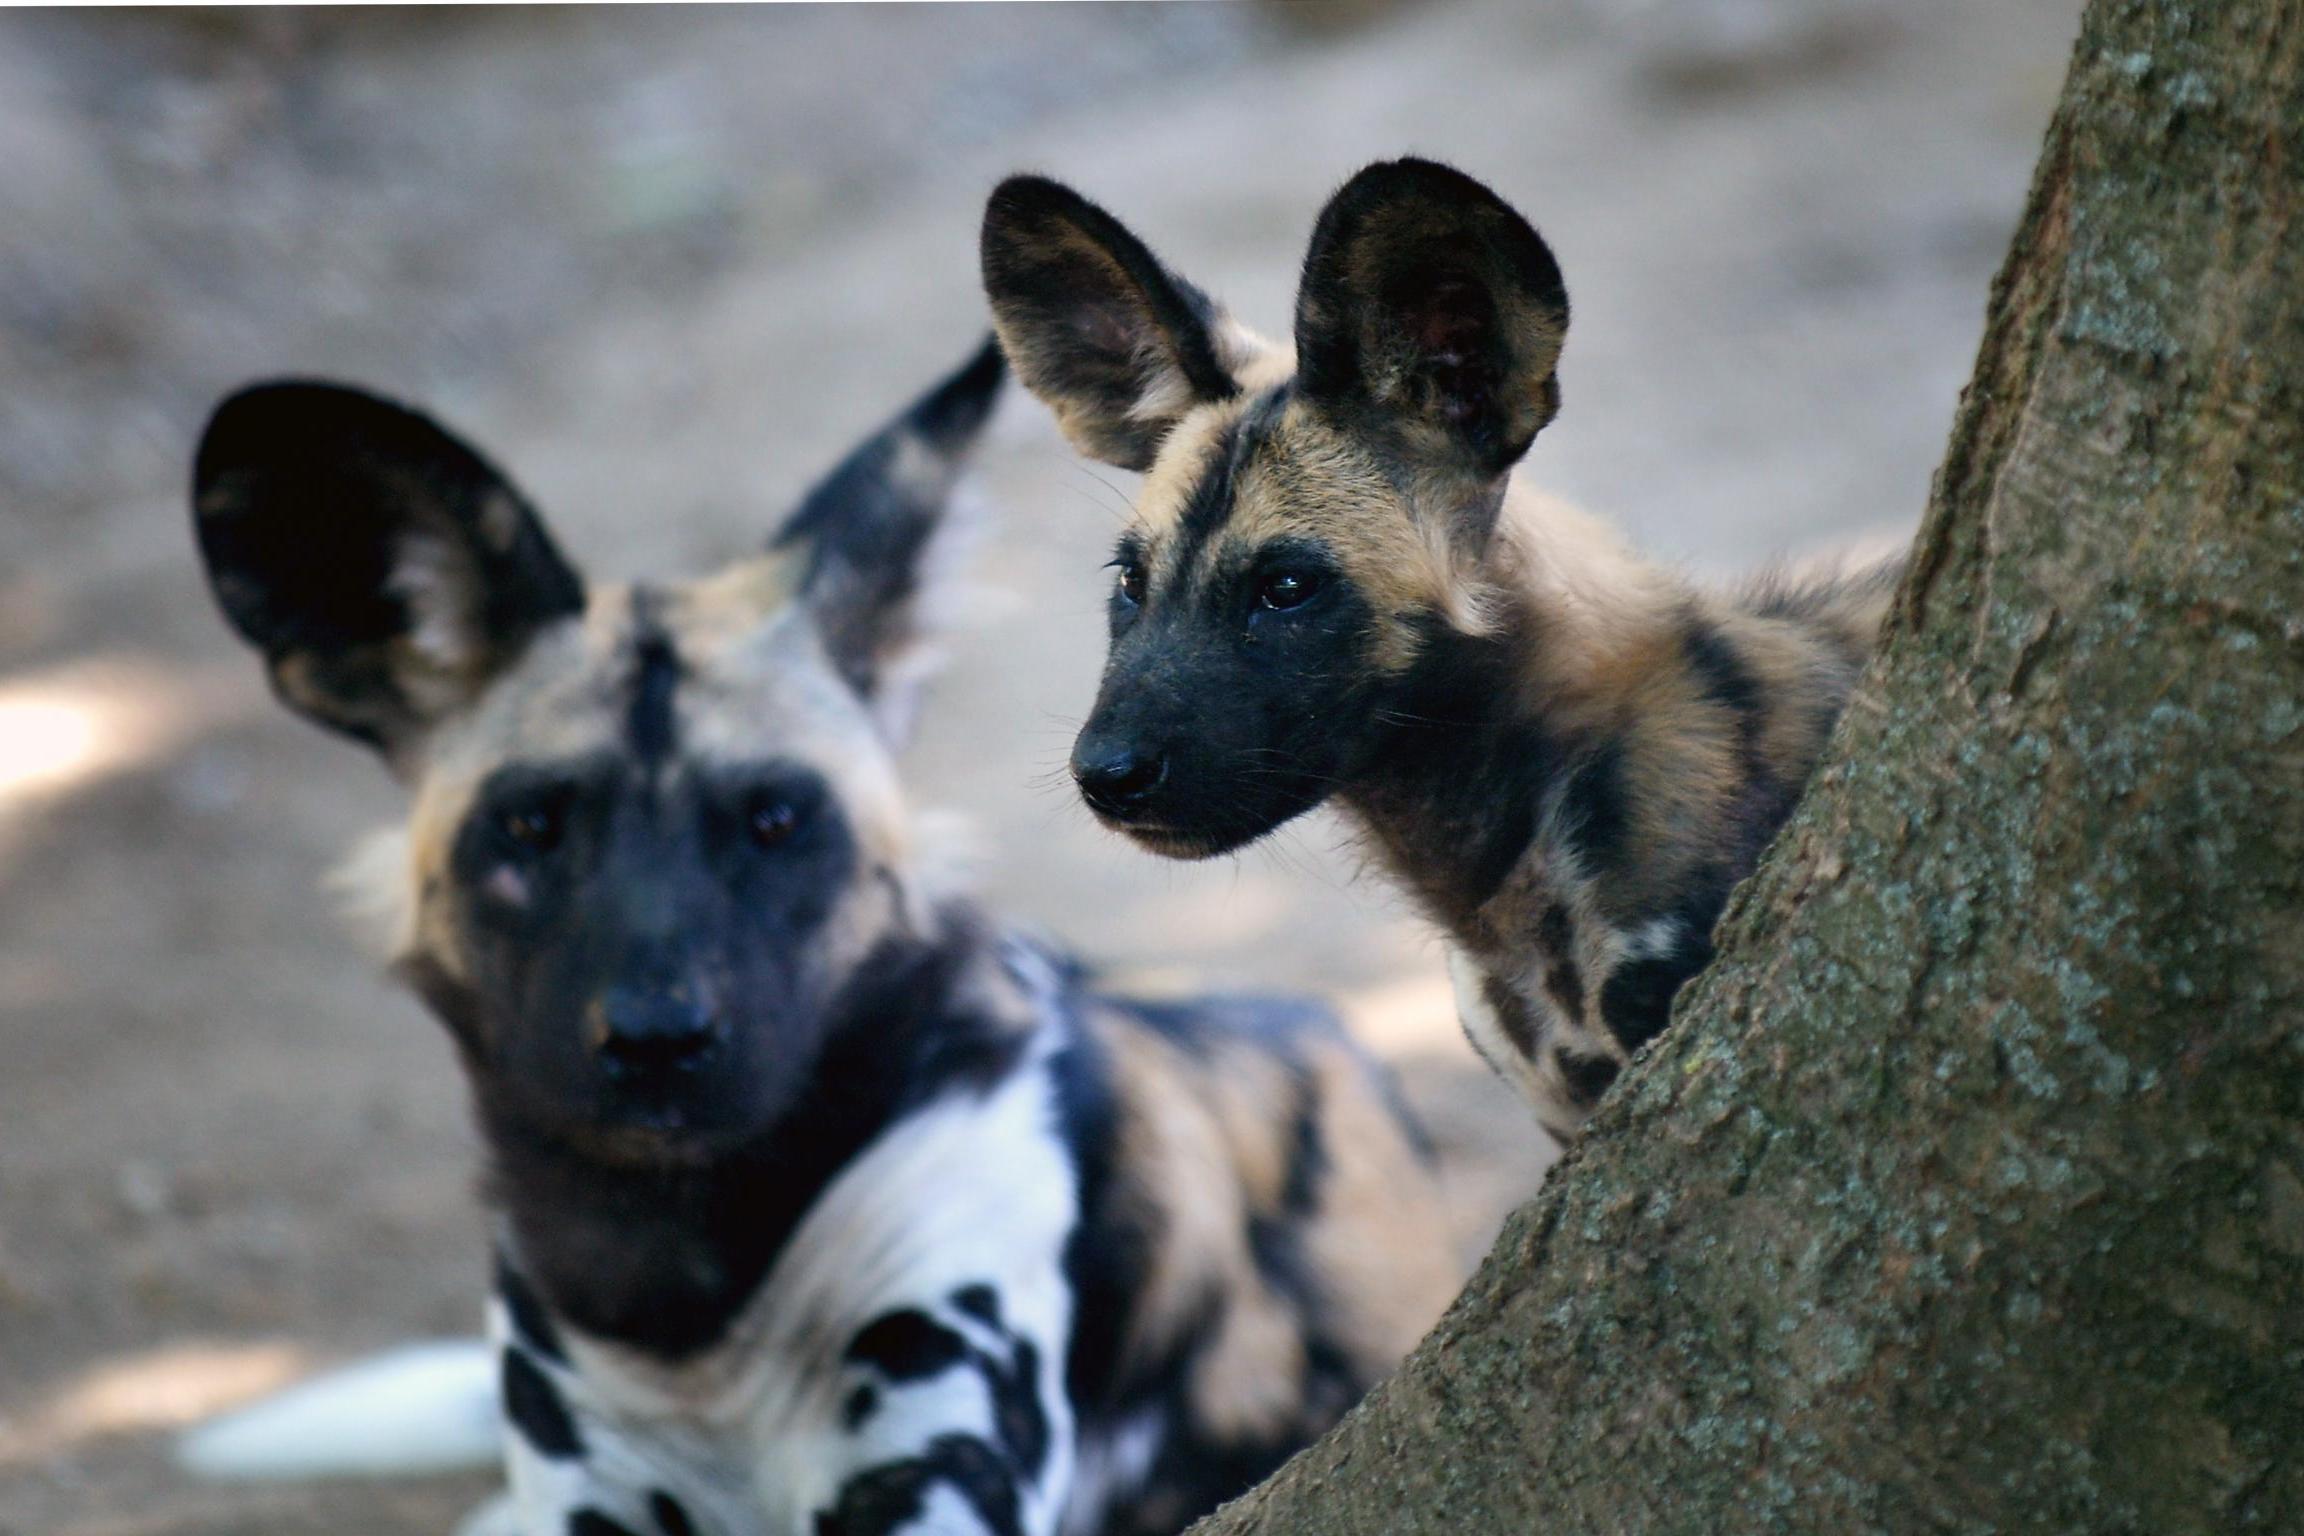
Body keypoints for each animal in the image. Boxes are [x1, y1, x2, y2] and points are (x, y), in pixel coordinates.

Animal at [198, 345, 1456, 1536]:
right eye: (532, 825)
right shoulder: (584, 1486)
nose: (657, 1042)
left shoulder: (941, 1473)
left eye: (777, 820)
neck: (689, 1296)